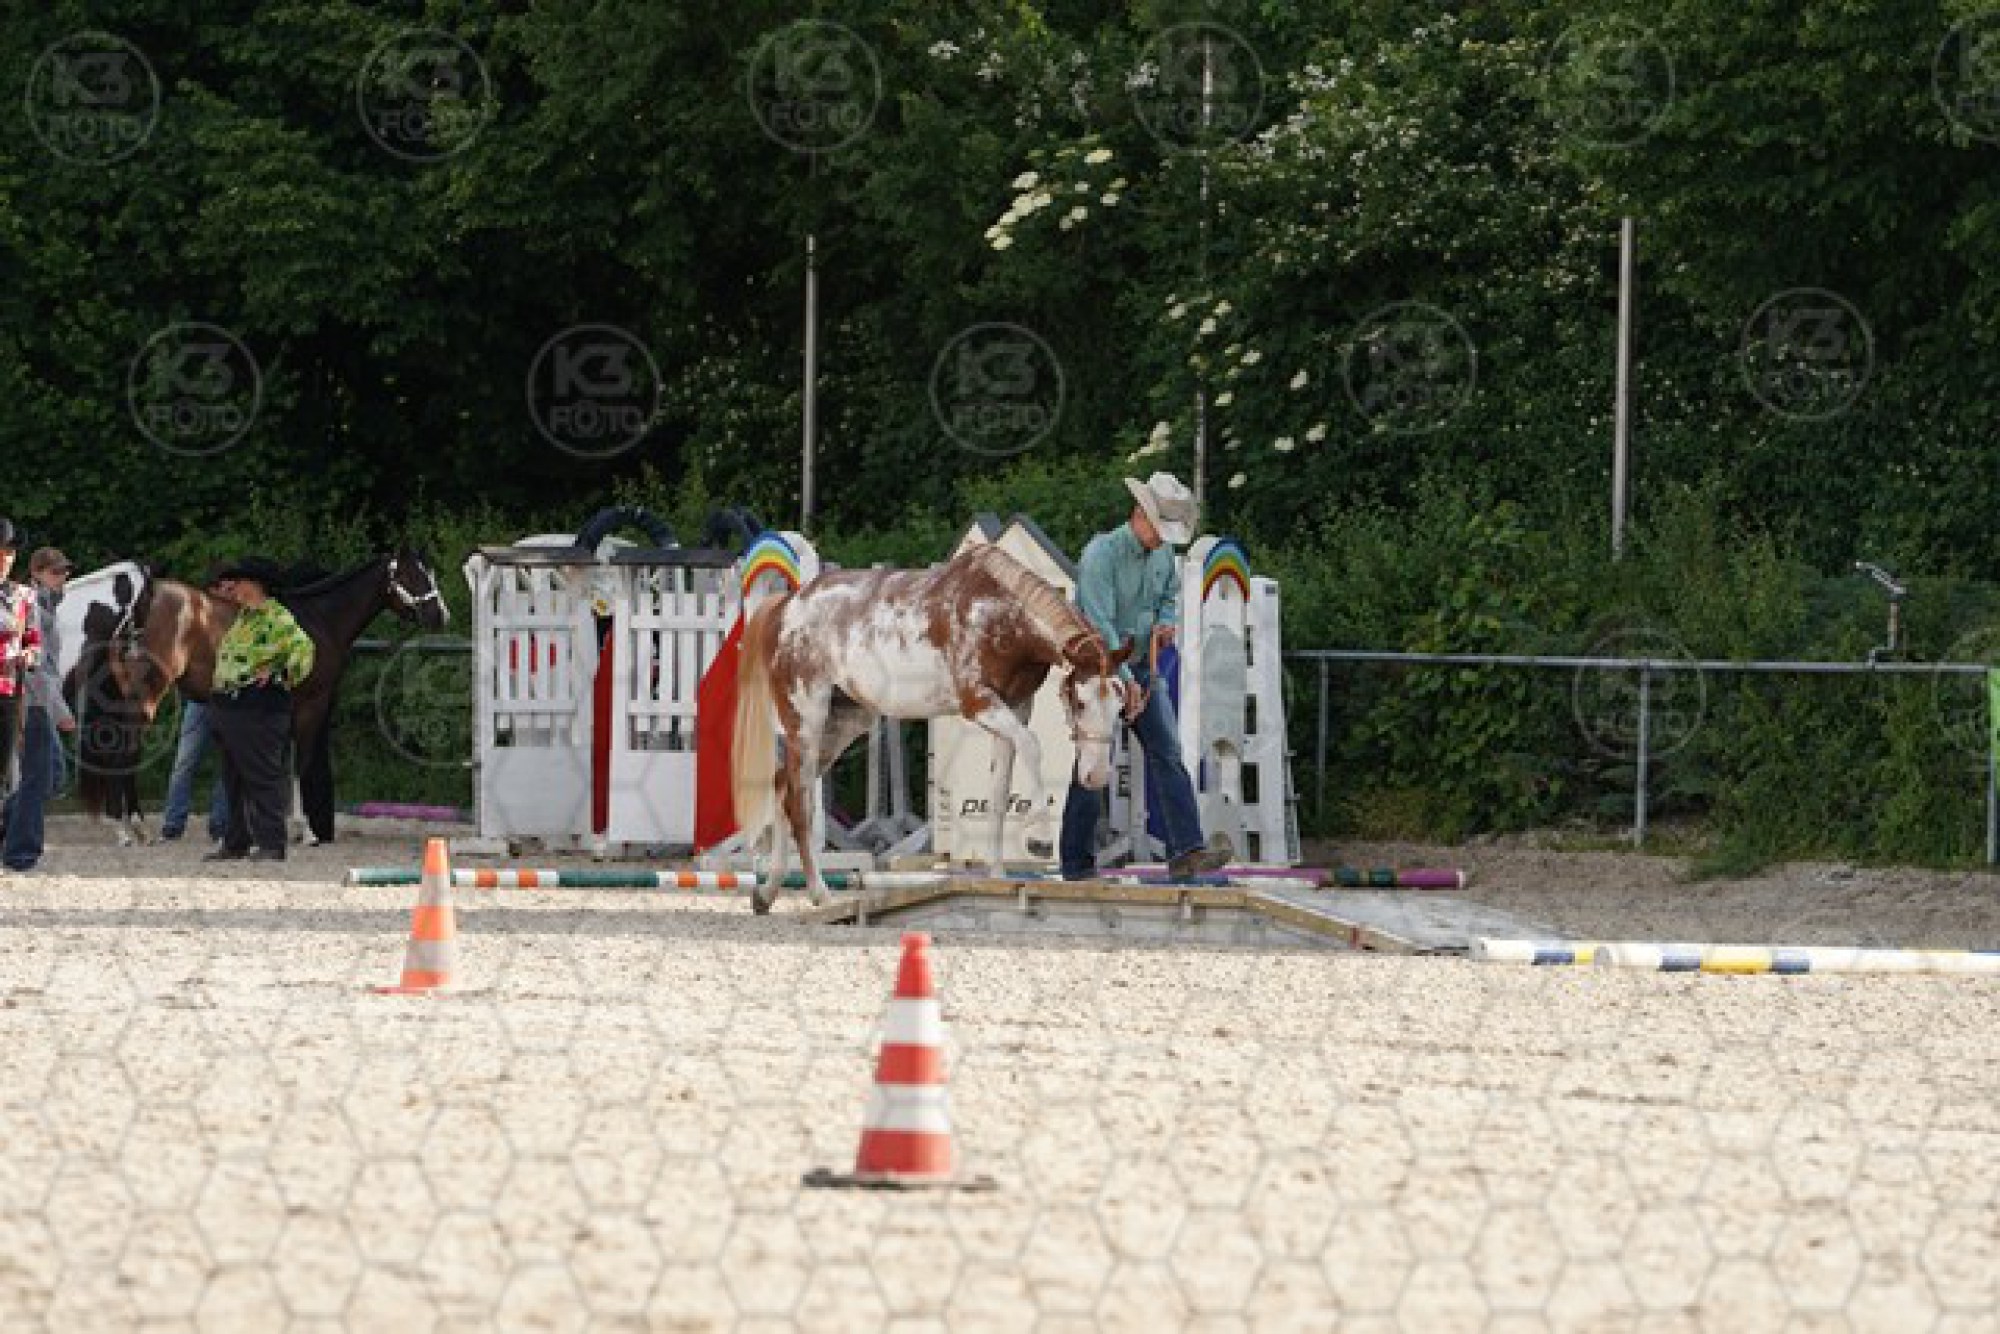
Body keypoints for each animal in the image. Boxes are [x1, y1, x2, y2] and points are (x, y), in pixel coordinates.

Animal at [74, 549, 450, 844]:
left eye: (428, 572)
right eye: (411, 575)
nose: (440, 616)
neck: (319, 620)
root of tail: (138, 606)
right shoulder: (310, 705)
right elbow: (300, 763)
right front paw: (306, 831)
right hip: (147, 694)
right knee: (126, 752)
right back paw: (130, 829)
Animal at [730, 544, 1131, 914]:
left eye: (1120, 704)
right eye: (1080, 702)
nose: (1096, 776)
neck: (998, 611)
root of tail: (784, 607)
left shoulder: (1016, 707)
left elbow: (1000, 792)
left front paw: (999, 874)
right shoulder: (978, 703)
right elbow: (1032, 746)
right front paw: (1041, 842)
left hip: (842, 724)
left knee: (782, 787)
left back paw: (767, 893)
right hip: (806, 719)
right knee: (798, 801)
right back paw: (820, 893)